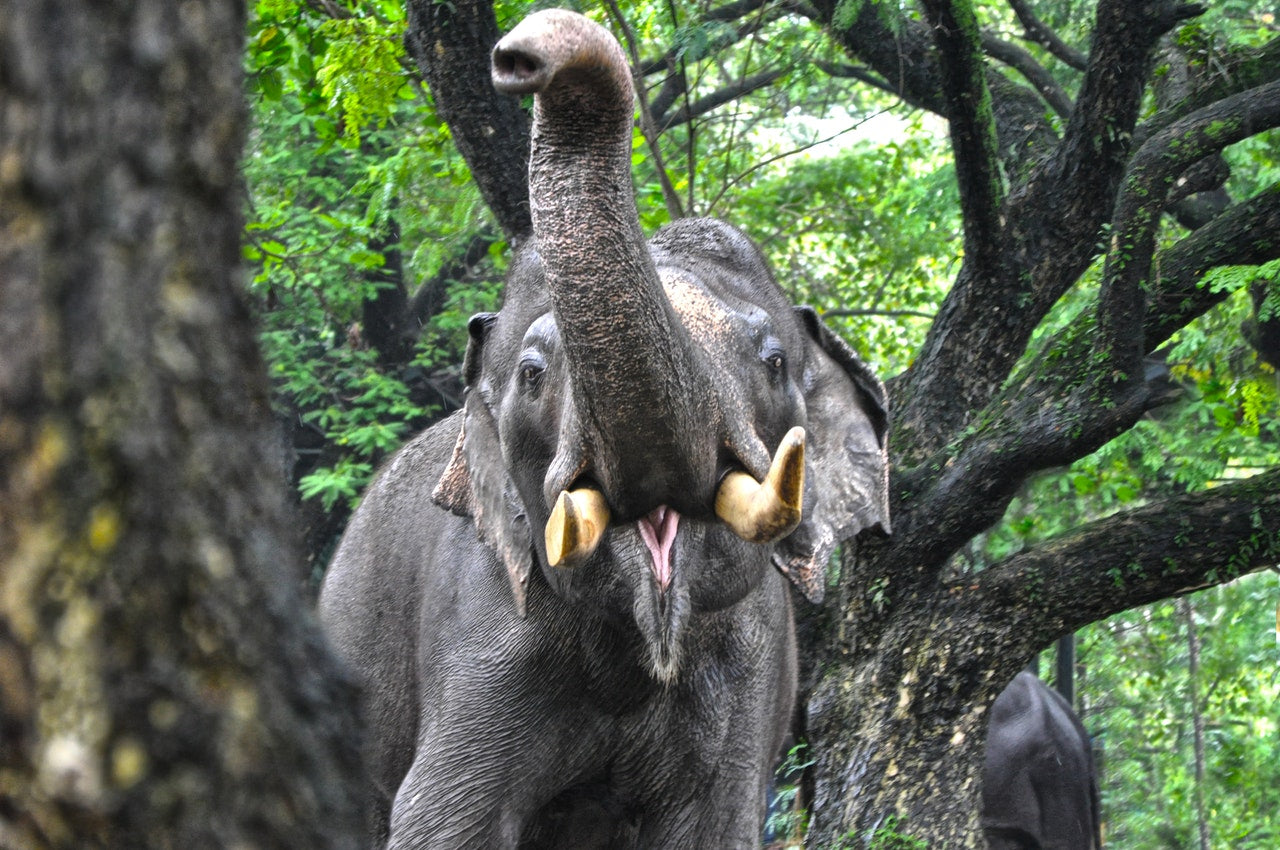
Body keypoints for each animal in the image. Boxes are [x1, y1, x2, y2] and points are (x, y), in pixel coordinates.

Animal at [317, 8, 890, 850]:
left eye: (776, 362)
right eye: (532, 374)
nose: (515, 57)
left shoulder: (751, 666)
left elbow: (714, 826)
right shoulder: (484, 628)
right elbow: (444, 823)